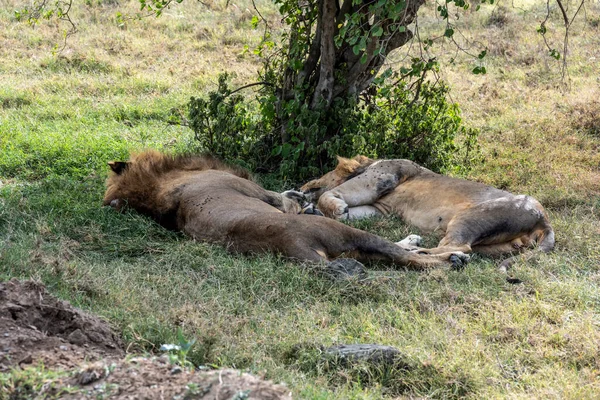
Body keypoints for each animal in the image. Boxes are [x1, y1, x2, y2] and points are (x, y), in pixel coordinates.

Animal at [102, 150, 468, 272]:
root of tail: (294, 249)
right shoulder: (257, 192)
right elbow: (284, 199)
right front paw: (303, 200)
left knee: (400, 253)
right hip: (347, 234)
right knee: (408, 257)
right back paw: (453, 259)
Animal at [302, 155, 556, 268]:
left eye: (320, 175)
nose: (301, 187)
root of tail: (543, 219)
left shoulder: (381, 178)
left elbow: (329, 194)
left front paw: (331, 207)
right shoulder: (379, 210)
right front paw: (322, 211)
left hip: (471, 216)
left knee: (458, 246)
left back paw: (423, 251)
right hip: (497, 246)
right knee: (463, 247)